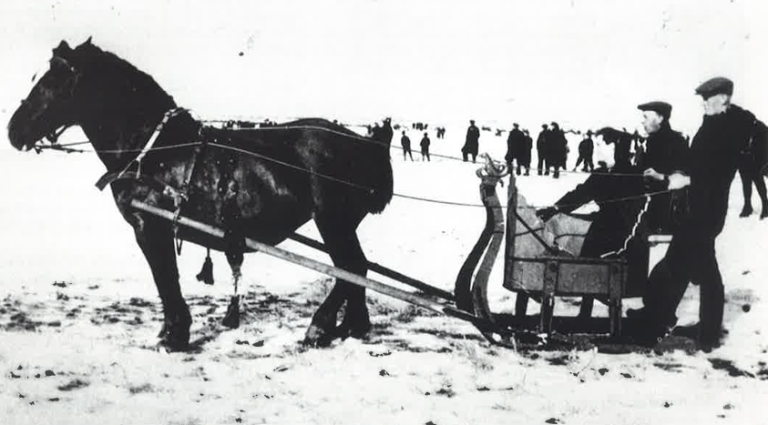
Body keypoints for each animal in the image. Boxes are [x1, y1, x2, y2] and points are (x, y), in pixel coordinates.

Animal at [10, 39, 396, 352]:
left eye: (53, 80)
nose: (14, 130)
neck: (154, 149)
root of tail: (367, 143)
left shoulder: (150, 227)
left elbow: (165, 278)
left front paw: (174, 335)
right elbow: (166, 279)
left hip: (333, 221)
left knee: (351, 267)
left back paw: (320, 326)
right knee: (354, 271)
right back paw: (351, 326)